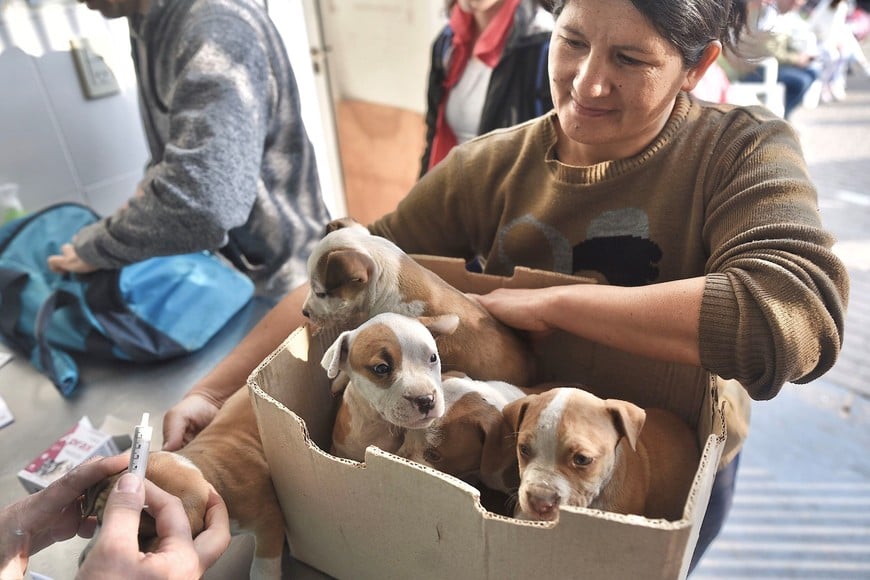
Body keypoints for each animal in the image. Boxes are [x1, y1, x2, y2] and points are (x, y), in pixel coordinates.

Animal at [84, 388, 284, 576]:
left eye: (142, 535)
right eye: (100, 519)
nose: (87, 560)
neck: (203, 472)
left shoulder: (269, 519)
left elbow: (263, 566)